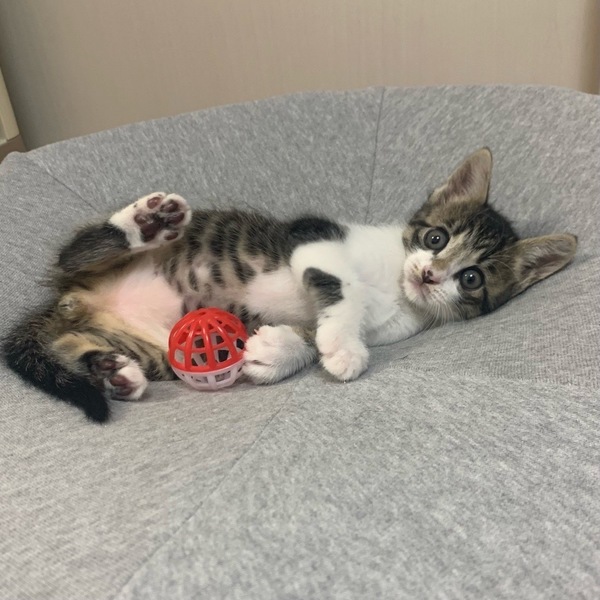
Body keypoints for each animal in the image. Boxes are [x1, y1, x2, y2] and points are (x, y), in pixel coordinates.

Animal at [2, 148, 576, 422]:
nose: (430, 274)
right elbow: (343, 289)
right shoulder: (313, 240)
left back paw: (113, 372)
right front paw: (343, 347)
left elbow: (309, 329)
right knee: (76, 250)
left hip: (147, 345)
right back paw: (144, 224)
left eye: (472, 278)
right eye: (436, 237)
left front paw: (278, 352)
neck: (394, 282)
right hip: (92, 265)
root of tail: (73, 300)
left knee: (79, 346)